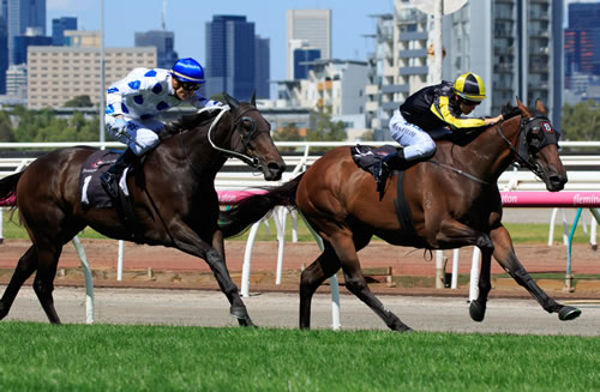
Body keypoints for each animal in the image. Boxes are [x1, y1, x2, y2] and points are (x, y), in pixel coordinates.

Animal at [0, 94, 286, 324]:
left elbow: (220, 264)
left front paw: (244, 315)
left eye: (268, 125)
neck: (186, 166)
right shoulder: (173, 231)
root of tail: (30, 169)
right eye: (246, 125)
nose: (277, 166)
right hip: (48, 236)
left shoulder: (209, 228)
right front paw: (240, 312)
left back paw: (3, 310)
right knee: (41, 283)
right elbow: (213, 258)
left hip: (59, 232)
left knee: (23, 266)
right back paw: (58, 326)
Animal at [220, 99, 580, 332]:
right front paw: (477, 307)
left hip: (355, 234)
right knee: (355, 280)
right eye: (535, 135)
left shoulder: (495, 226)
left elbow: (517, 267)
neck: (470, 166)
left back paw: (305, 329)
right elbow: (484, 246)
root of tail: (308, 174)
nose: (558, 178)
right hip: (337, 229)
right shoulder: (439, 231)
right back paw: (398, 323)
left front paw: (560, 307)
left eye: (556, 134)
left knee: (309, 275)